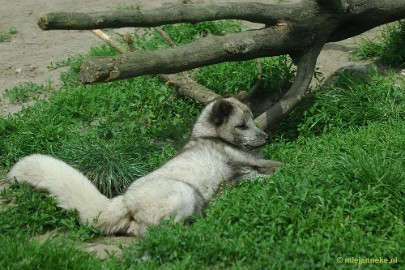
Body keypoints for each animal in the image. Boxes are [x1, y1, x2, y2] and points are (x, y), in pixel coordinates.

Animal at [7, 95, 282, 236]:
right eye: (242, 125)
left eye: (252, 120)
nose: (266, 138)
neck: (208, 137)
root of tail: (122, 199)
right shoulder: (244, 161)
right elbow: (279, 164)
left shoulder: (245, 170)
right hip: (185, 193)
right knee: (163, 232)